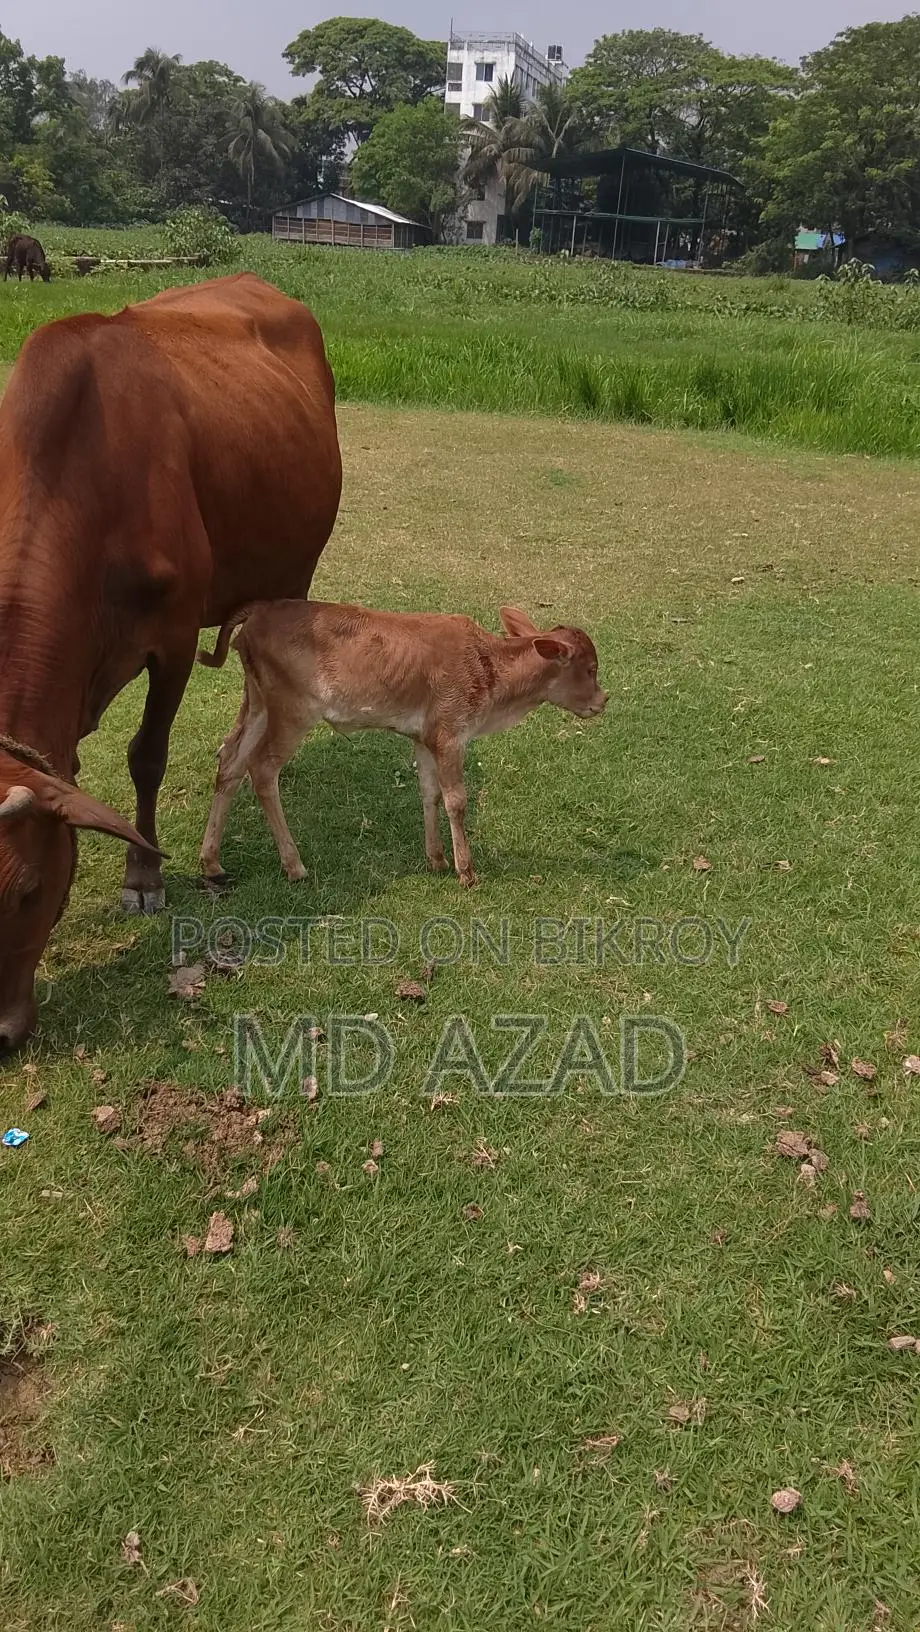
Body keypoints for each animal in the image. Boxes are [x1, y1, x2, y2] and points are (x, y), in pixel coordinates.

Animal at [198, 601, 608, 889]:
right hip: (292, 709)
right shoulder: (451, 733)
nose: (602, 701)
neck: (491, 673)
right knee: (262, 769)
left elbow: (429, 792)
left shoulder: (424, 737)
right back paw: (294, 864)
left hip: (257, 702)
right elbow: (456, 800)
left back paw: (212, 861)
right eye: (590, 669)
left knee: (230, 759)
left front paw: (437, 858)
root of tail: (257, 612)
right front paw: (466, 870)